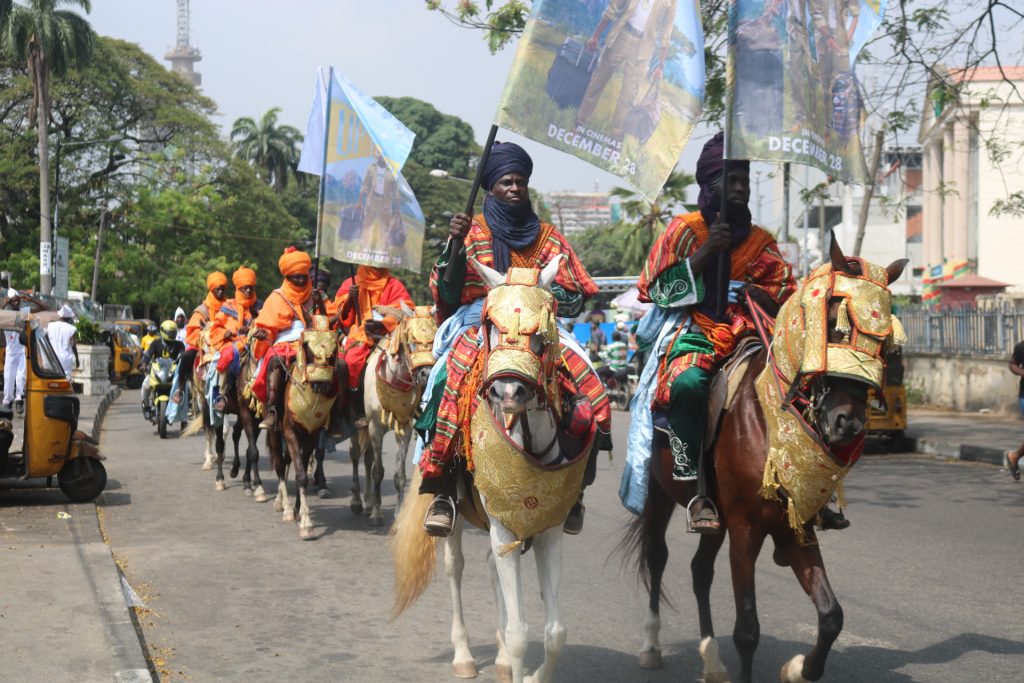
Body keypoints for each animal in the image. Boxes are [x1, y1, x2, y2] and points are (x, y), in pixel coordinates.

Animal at [389, 255, 593, 683]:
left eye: (542, 331)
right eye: (492, 326)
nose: (509, 391)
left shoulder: (548, 530)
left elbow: (556, 632)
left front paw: (530, 674)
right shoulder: (503, 527)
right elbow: (518, 632)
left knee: (490, 568)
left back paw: (497, 659)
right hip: (456, 521)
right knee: (456, 568)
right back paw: (465, 657)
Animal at [622, 236, 905, 683]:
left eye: (885, 341)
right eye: (834, 324)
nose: (848, 424)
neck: (771, 421)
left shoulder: (795, 525)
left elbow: (832, 616)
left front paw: (800, 668)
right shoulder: (746, 528)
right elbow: (748, 630)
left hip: (715, 517)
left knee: (700, 571)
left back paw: (712, 661)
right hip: (658, 494)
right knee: (657, 556)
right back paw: (651, 647)